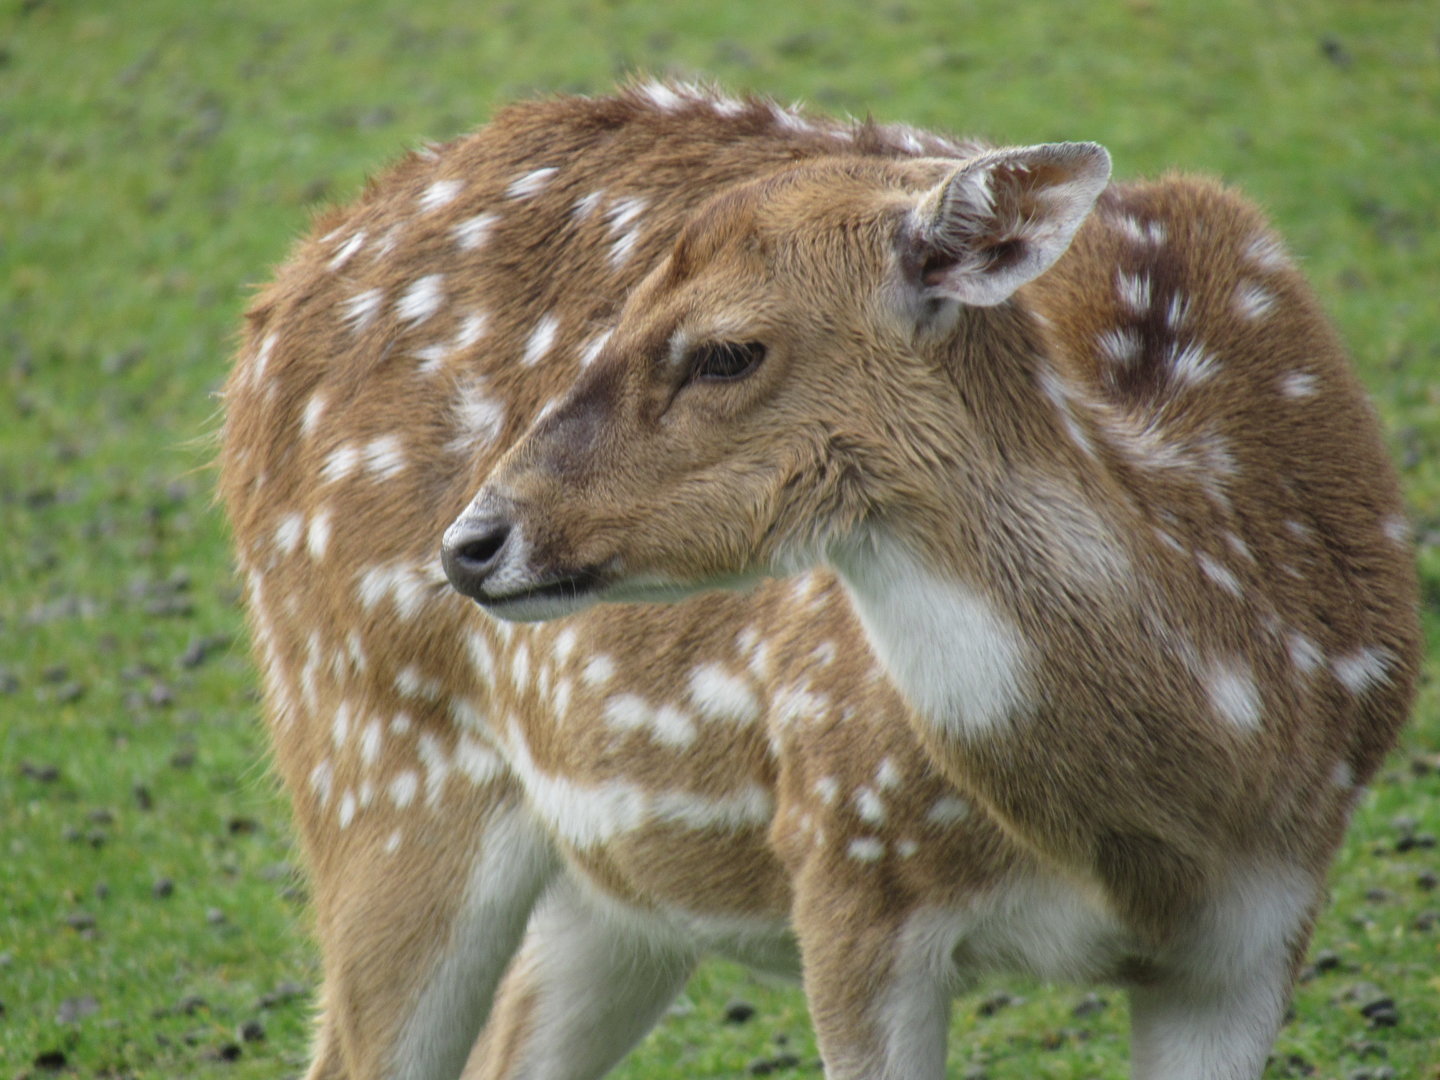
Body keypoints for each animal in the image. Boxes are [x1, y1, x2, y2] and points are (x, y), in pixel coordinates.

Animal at [220, 80, 1419, 1080]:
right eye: (615, 314)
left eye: (725, 351)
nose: (472, 541)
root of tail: (274, 295)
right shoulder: (848, 863)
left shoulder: (1256, 935)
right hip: (370, 743)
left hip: (610, 873)